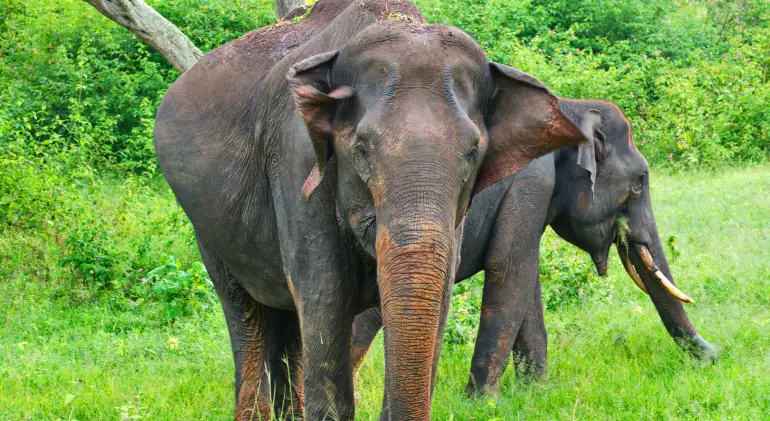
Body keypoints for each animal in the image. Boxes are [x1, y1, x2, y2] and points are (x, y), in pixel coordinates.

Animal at [153, 1, 592, 418]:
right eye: (361, 149)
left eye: (473, 152)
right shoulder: (295, 163)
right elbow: (325, 295)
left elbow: (439, 296)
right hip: (207, 228)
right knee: (245, 313)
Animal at [352, 97, 716, 398]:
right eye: (640, 181)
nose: (716, 356)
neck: (570, 107)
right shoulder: (530, 182)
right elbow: (510, 267)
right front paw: (484, 403)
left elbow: (527, 279)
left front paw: (536, 392)